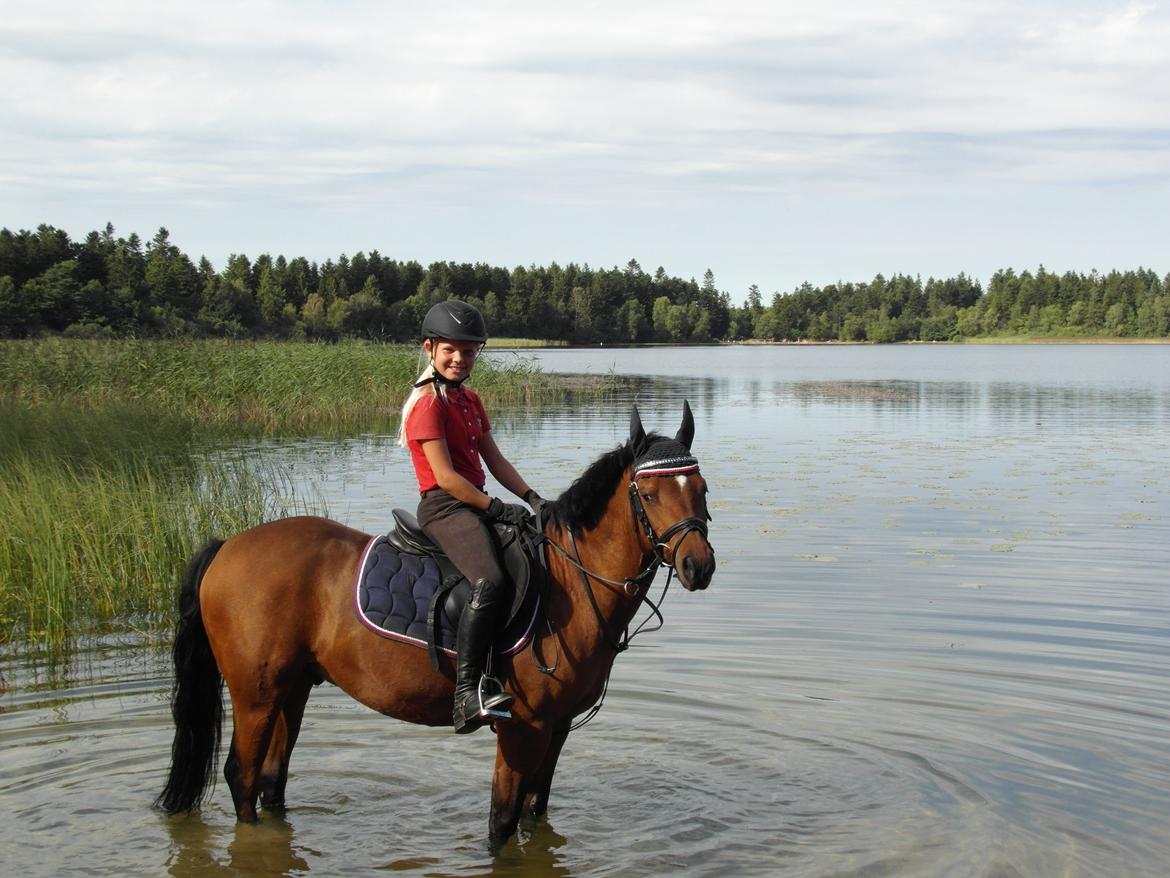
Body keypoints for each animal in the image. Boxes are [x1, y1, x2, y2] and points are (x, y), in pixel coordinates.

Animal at [155, 402, 711, 847]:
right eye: (650, 495)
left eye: (702, 489)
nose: (698, 567)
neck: (570, 582)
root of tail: (228, 544)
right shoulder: (523, 729)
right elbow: (501, 823)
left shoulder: (557, 730)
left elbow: (535, 814)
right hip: (257, 695)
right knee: (241, 778)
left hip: (293, 688)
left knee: (271, 781)